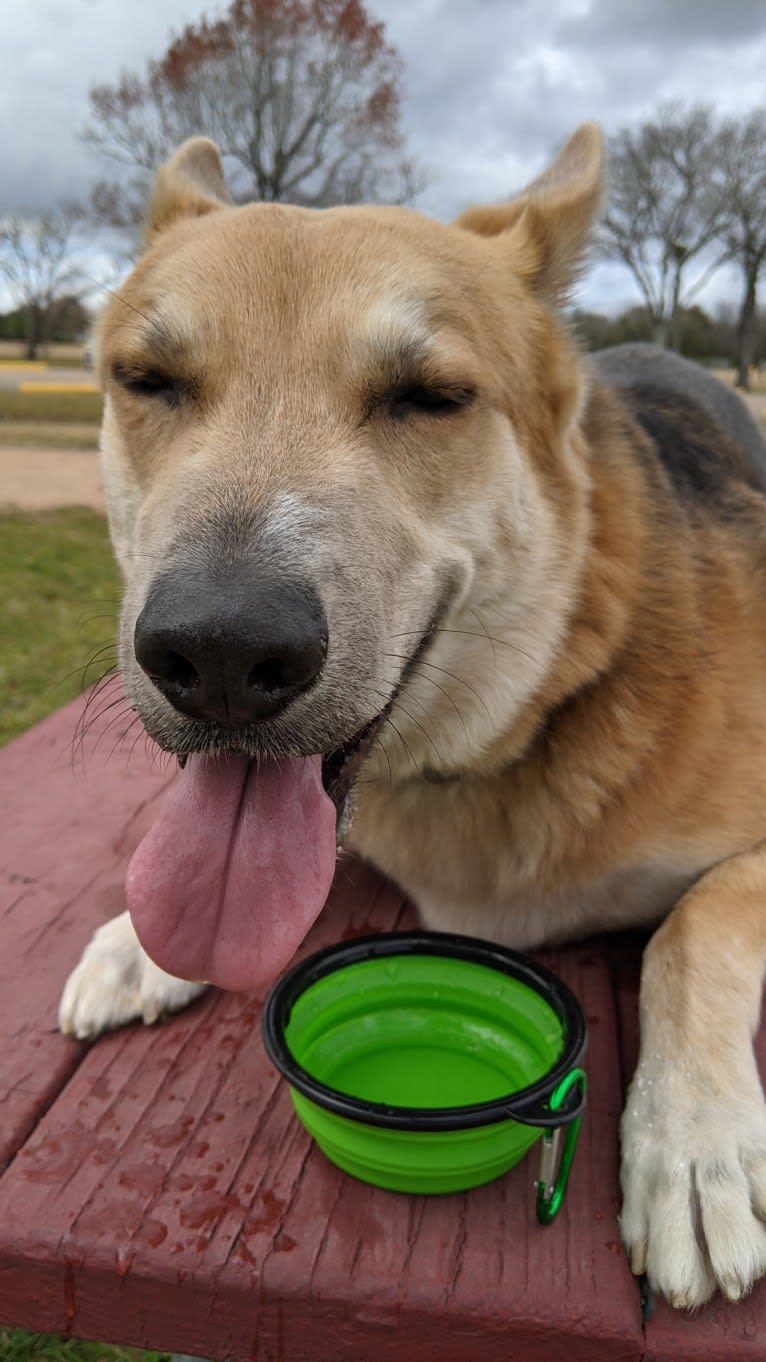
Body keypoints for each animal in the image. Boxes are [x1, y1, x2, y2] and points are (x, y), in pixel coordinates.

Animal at [59, 125, 766, 1307]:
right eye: (147, 381)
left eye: (429, 397)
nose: (219, 654)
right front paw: (137, 941)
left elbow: (696, 924)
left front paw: (693, 1144)